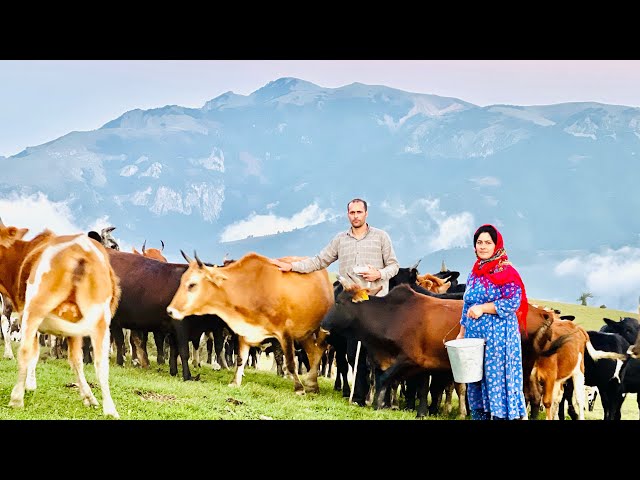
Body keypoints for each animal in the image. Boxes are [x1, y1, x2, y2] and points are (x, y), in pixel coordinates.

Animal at [0, 220, 121, 416]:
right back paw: (110, 410)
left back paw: (16, 398)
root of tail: (81, 254)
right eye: (113, 245)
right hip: (99, 320)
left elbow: (36, 353)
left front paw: (29, 385)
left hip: (34, 308)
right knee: (102, 363)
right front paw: (89, 397)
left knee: (24, 350)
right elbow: (77, 361)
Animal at [165, 251, 336, 394]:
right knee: (313, 352)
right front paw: (235, 381)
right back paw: (312, 384)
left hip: (319, 330)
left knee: (318, 350)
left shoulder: (285, 334)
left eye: (192, 284)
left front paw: (299, 388)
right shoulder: (243, 331)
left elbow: (289, 361)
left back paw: (311, 383)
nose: (170, 311)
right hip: (305, 334)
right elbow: (241, 358)